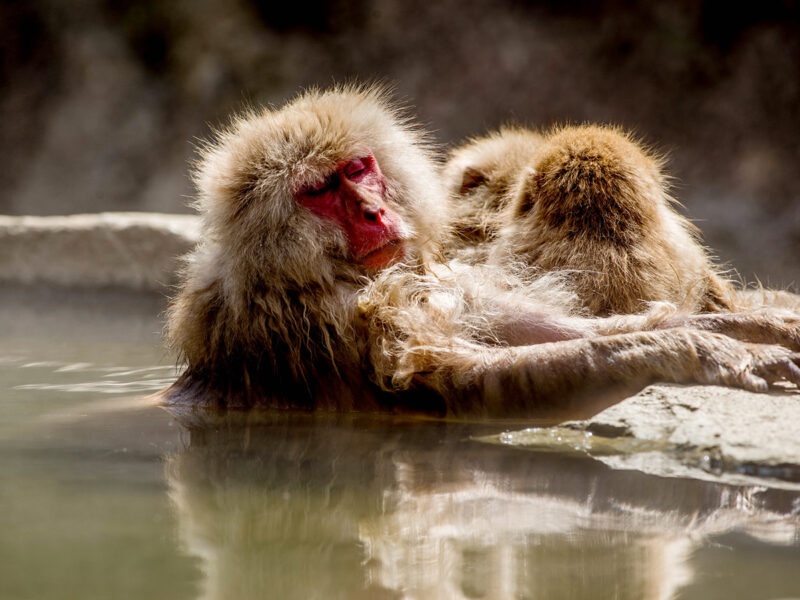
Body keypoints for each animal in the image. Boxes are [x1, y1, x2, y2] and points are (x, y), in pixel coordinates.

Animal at [162, 85, 800, 421]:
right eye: (318, 191)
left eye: (357, 169)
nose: (373, 211)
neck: (314, 274)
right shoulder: (335, 320)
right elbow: (464, 382)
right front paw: (691, 350)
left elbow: (553, 331)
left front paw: (759, 326)